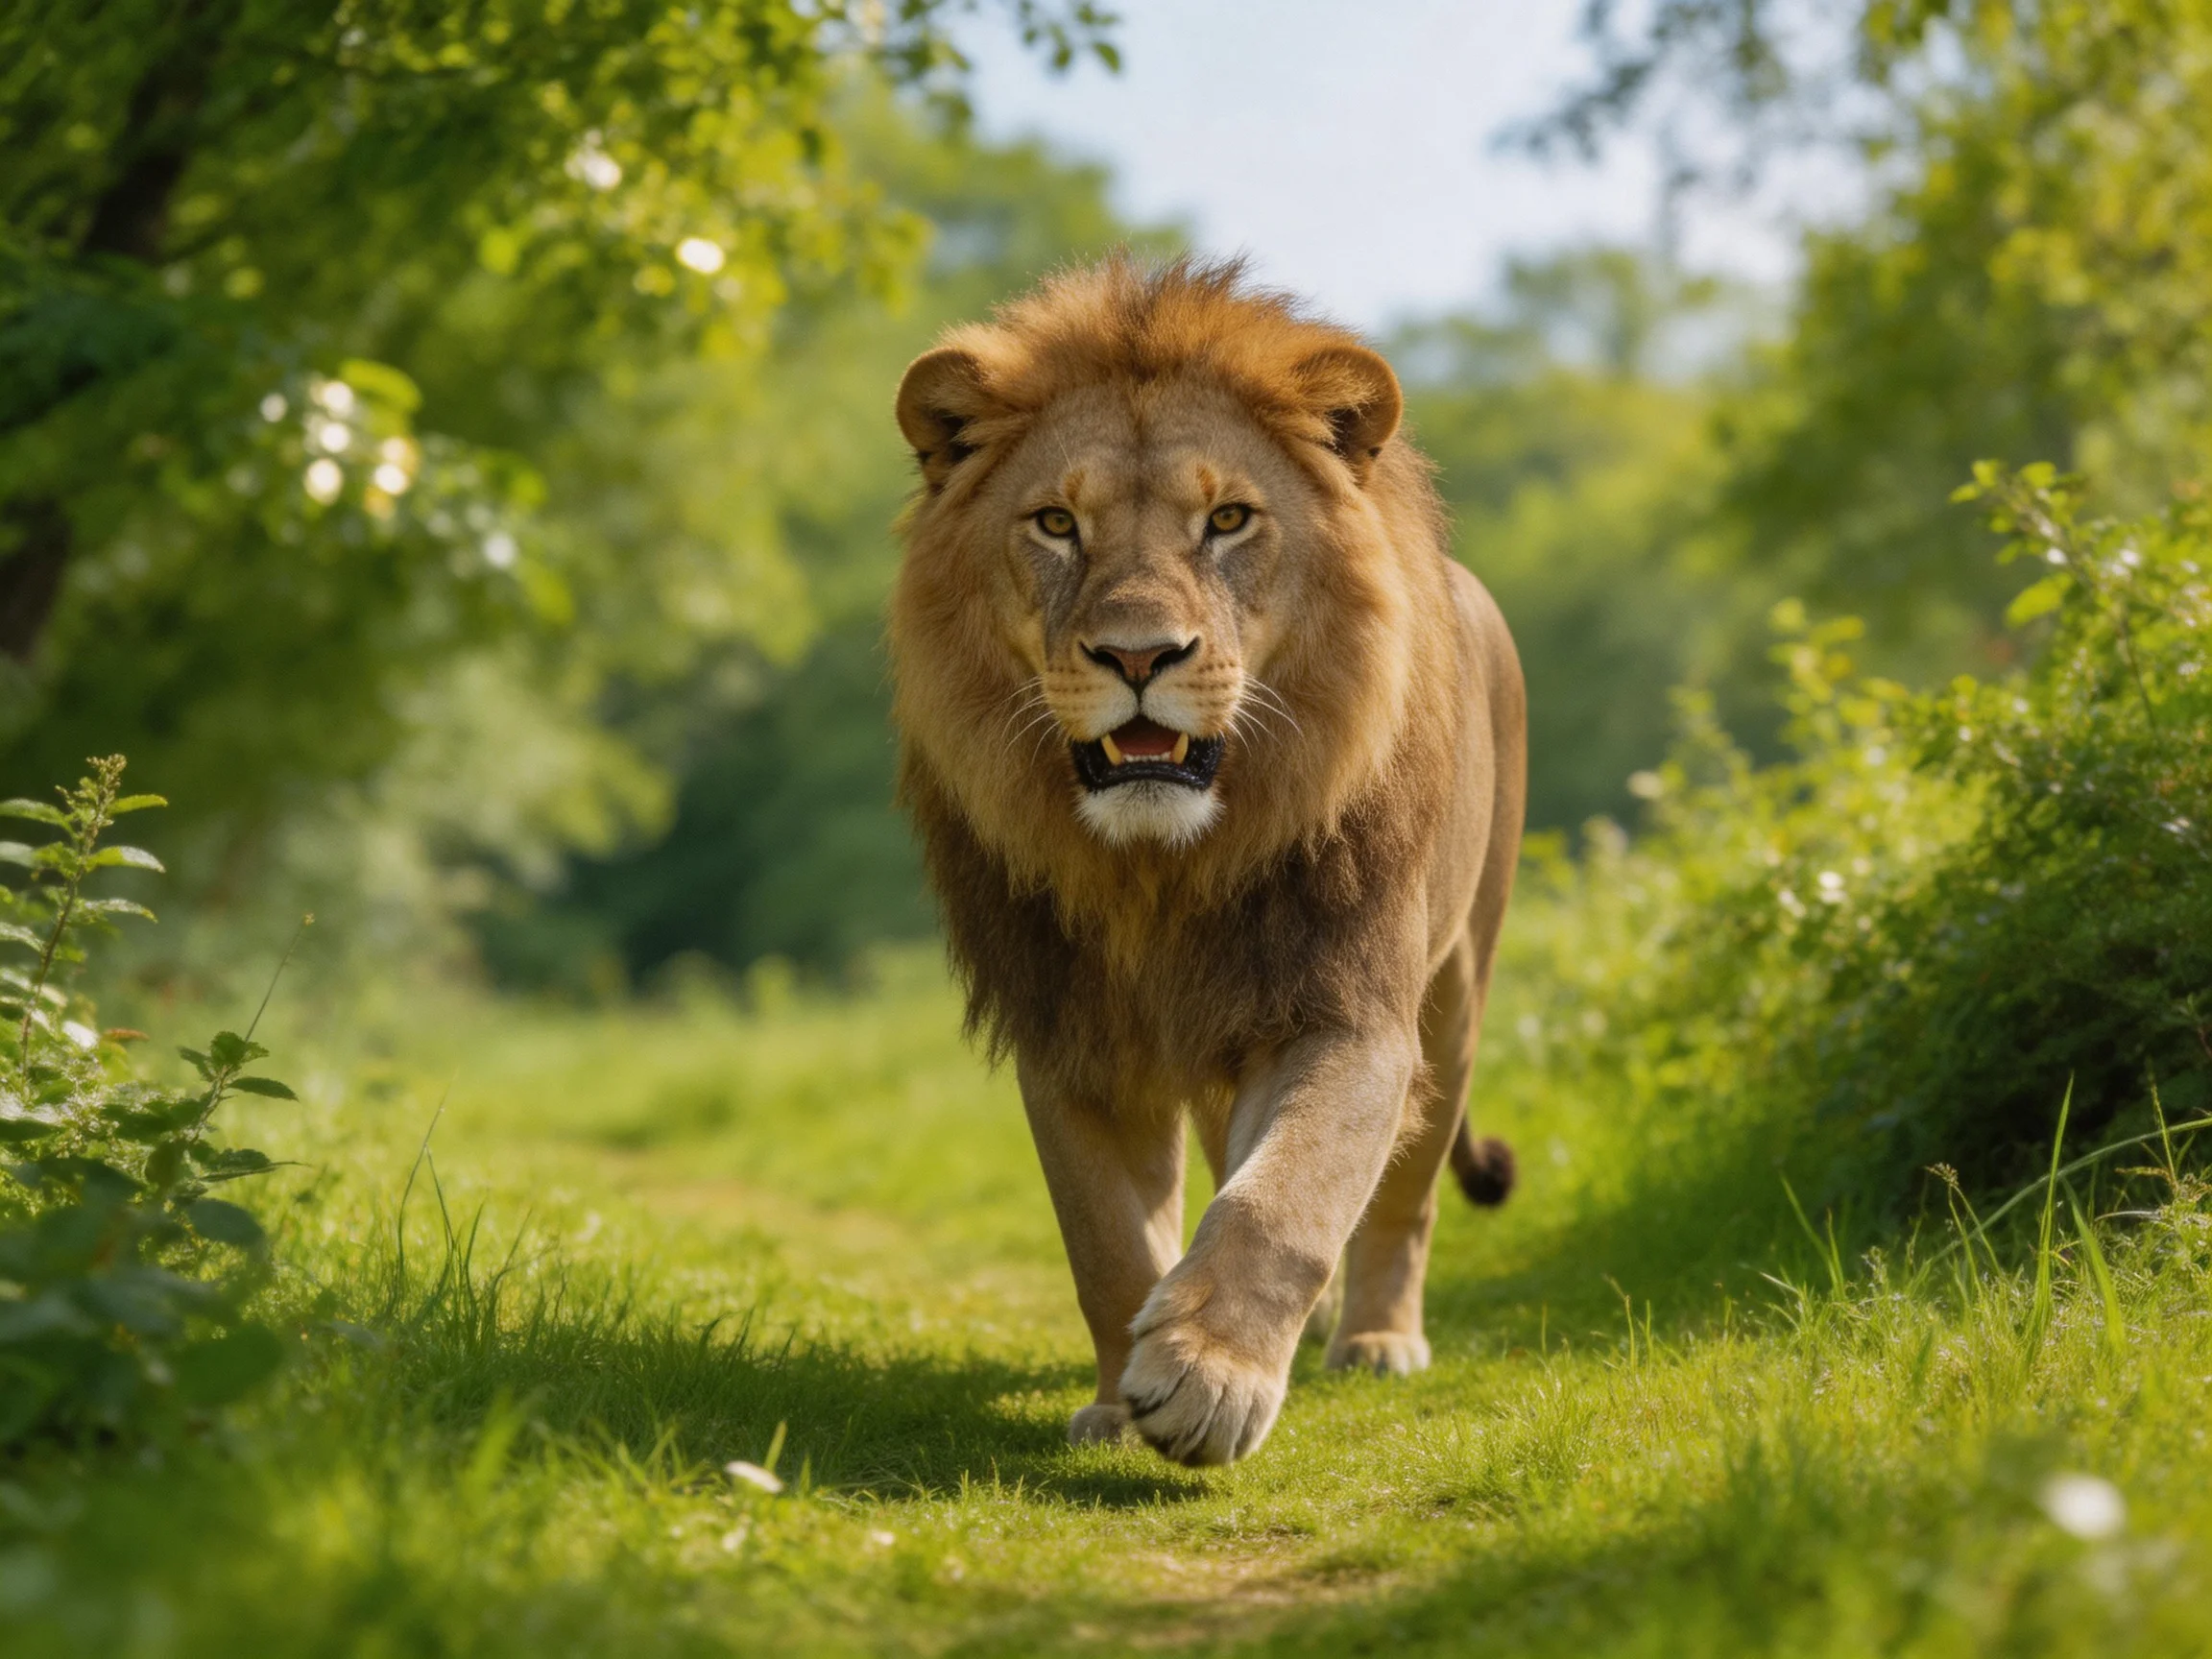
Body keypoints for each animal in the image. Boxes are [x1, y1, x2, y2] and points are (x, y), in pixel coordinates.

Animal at [887, 256, 1524, 1466]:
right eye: (1056, 523)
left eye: (1228, 519)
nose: (1139, 656)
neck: (1160, 872)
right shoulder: (1070, 1034)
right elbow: (1105, 1238)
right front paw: (1118, 1396)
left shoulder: (1348, 1009)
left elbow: (1289, 1197)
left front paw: (1208, 1375)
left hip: (1457, 991)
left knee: (1405, 1195)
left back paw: (1375, 1338)